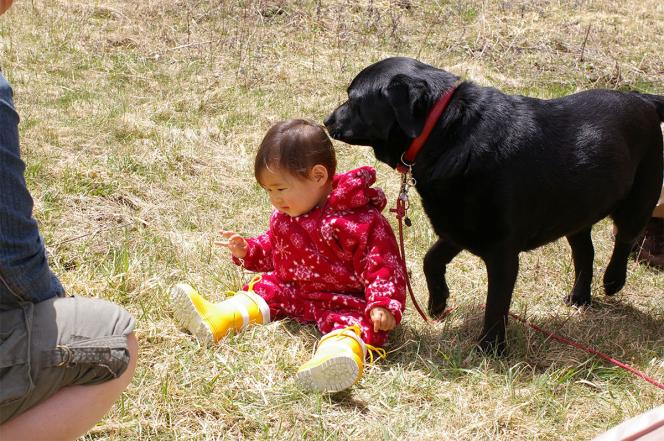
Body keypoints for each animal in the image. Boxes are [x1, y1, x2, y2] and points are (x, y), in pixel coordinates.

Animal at [326, 56, 664, 350]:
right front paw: (438, 302)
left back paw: (613, 281)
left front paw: (491, 348)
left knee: (624, 239)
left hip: (638, 199)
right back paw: (580, 297)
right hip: (576, 210)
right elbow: (430, 260)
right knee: (585, 252)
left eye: (354, 99)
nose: (327, 120)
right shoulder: (458, 227)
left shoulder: (502, 251)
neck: (445, 133)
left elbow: (496, 304)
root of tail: (643, 100)